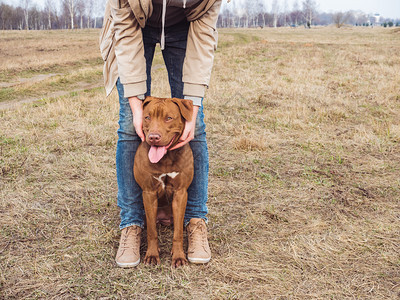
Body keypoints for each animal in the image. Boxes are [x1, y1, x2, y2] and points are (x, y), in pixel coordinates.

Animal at [134, 96, 195, 268]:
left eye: (168, 118)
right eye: (147, 117)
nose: (154, 137)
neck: (165, 158)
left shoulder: (180, 194)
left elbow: (178, 233)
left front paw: (179, 256)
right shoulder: (149, 193)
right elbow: (152, 232)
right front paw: (152, 255)